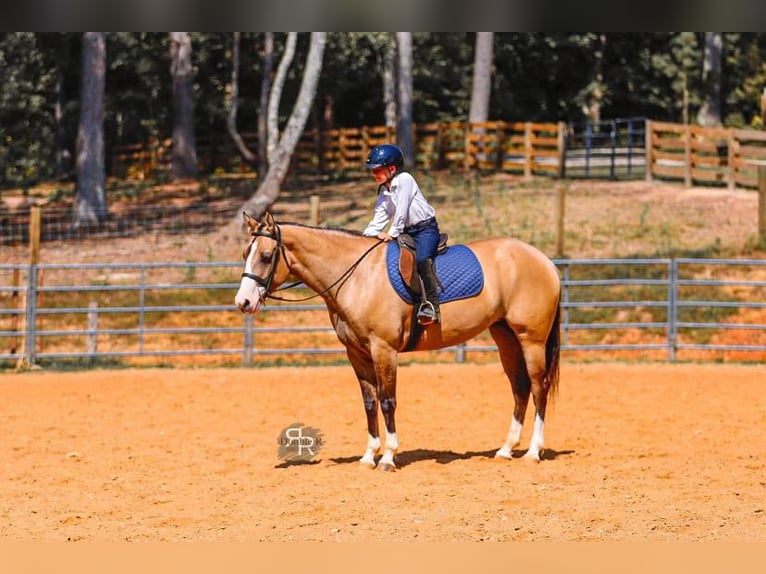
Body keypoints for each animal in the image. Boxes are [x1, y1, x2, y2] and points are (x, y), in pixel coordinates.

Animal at [235, 211, 561, 471]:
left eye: (266, 256)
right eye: (245, 253)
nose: (243, 302)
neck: (357, 277)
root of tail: (544, 260)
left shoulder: (384, 350)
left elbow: (388, 401)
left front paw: (389, 457)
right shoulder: (356, 353)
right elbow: (369, 403)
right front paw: (369, 456)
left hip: (531, 339)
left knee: (538, 387)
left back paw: (534, 451)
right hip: (505, 337)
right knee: (519, 387)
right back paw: (506, 449)